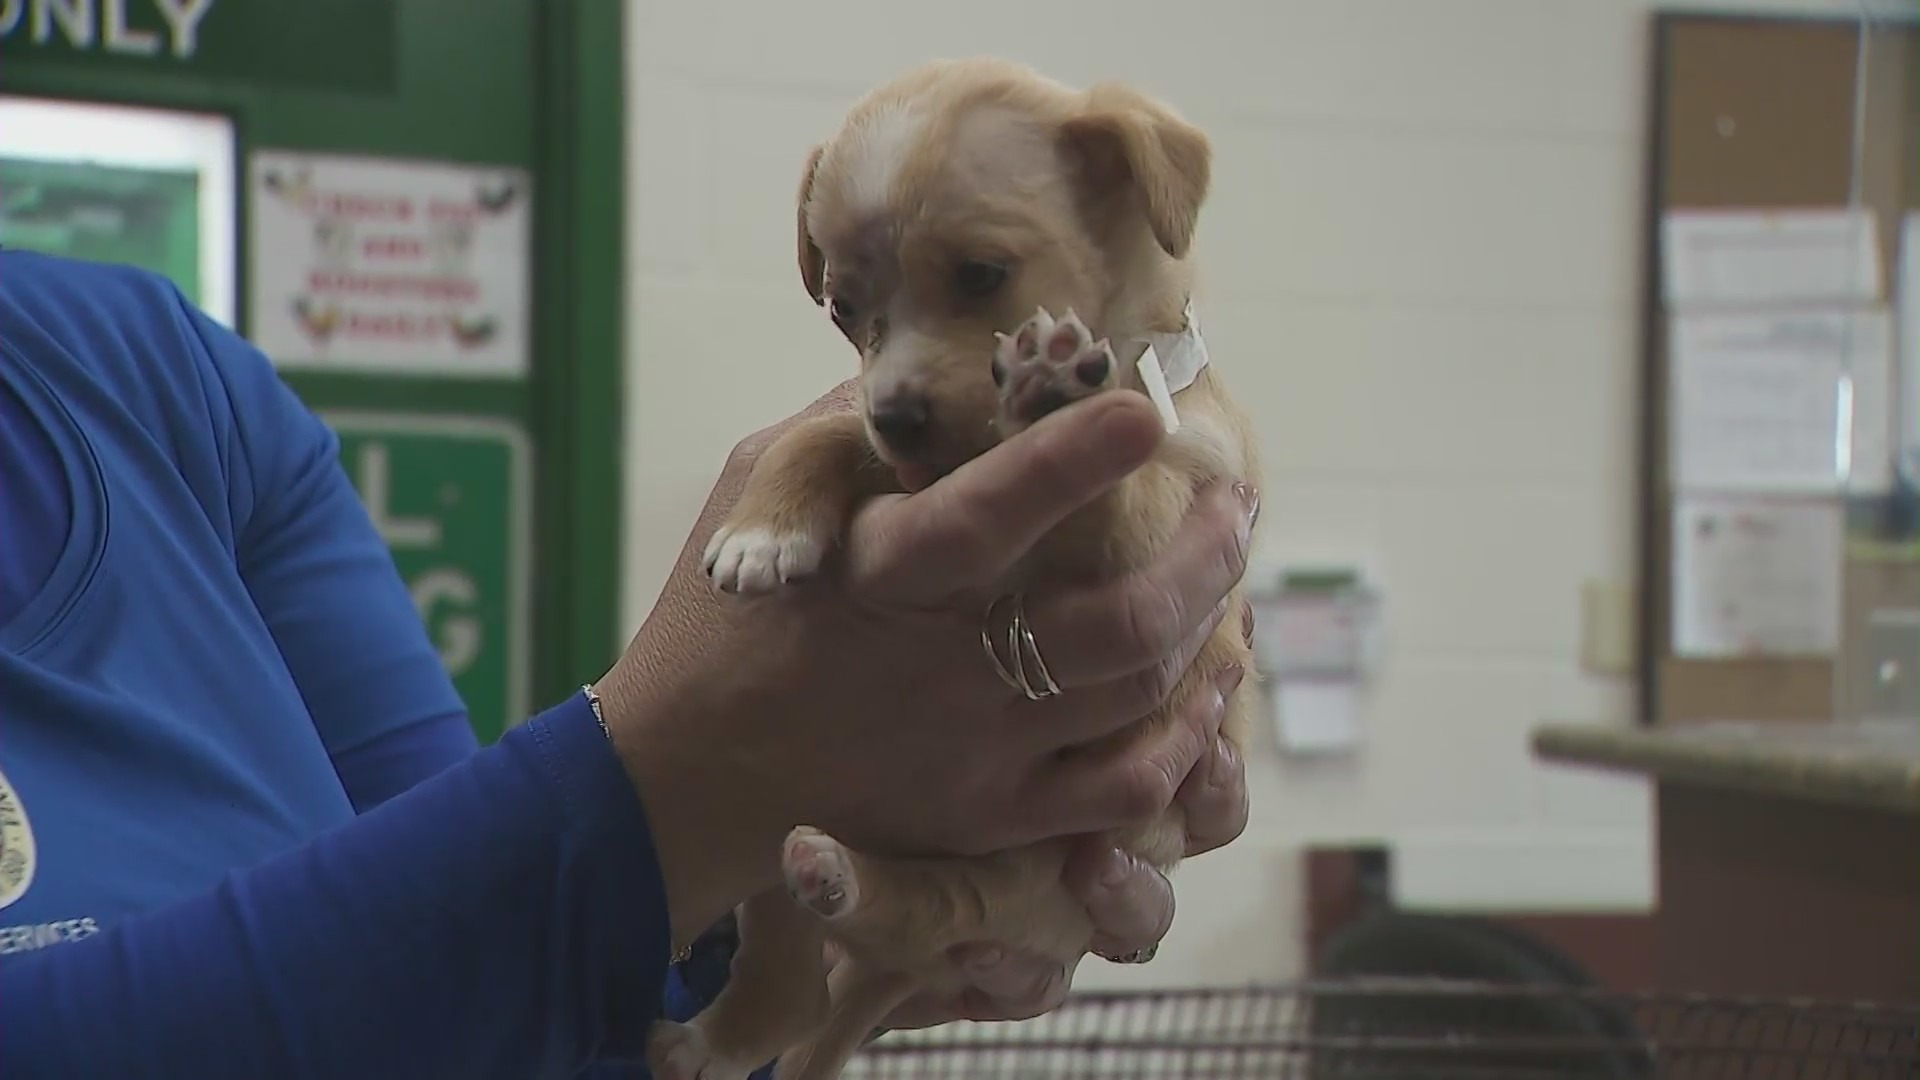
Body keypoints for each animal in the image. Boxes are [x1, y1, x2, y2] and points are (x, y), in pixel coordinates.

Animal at [652, 56, 1267, 1076]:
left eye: (983, 275)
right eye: (845, 311)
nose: (898, 416)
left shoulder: (1159, 523)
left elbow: (1104, 480)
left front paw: (1060, 399)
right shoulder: (888, 460)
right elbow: (822, 436)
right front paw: (762, 532)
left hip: (1021, 875)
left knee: (915, 918)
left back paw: (831, 881)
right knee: (791, 982)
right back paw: (722, 1022)